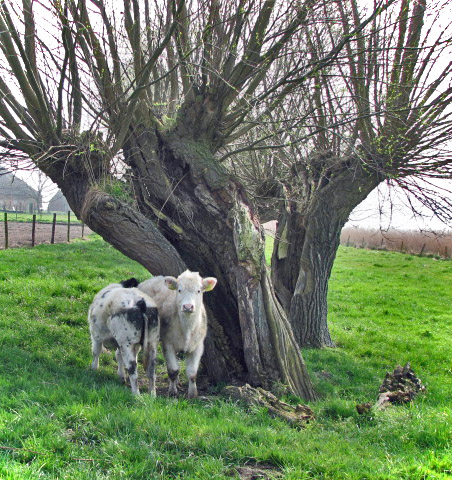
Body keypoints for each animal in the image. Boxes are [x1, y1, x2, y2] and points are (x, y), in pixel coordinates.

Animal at [139, 270, 217, 398]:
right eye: (179, 290)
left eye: (199, 291)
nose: (188, 307)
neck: (187, 330)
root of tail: (153, 278)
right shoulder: (168, 344)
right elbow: (173, 370)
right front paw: (172, 391)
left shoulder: (198, 346)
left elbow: (192, 373)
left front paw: (193, 394)